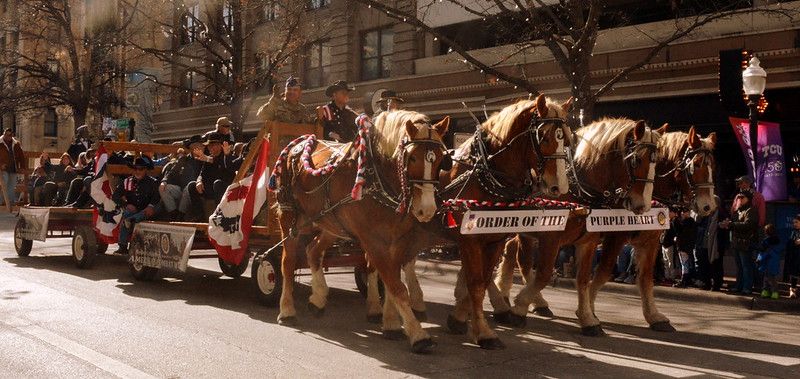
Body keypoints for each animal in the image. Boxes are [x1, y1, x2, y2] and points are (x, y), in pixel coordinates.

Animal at [272, 111, 450, 354]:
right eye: (412, 157)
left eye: (441, 158)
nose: (427, 210)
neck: (377, 178)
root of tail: (299, 142)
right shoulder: (373, 241)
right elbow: (396, 286)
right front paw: (417, 334)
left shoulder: (397, 241)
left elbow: (392, 283)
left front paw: (391, 323)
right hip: (290, 218)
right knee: (288, 262)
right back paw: (287, 310)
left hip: (331, 223)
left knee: (313, 251)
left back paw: (318, 298)